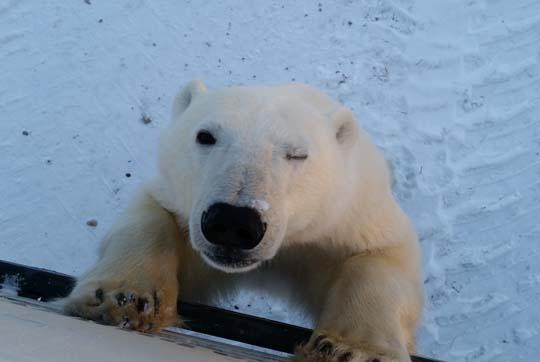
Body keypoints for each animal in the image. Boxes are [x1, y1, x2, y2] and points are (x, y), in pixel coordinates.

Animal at [63, 80, 424, 360]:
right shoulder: (180, 206)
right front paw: (124, 299)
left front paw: (351, 349)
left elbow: (380, 258)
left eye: (298, 153)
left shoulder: (343, 219)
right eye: (205, 136)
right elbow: (152, 217)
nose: (234, 223)